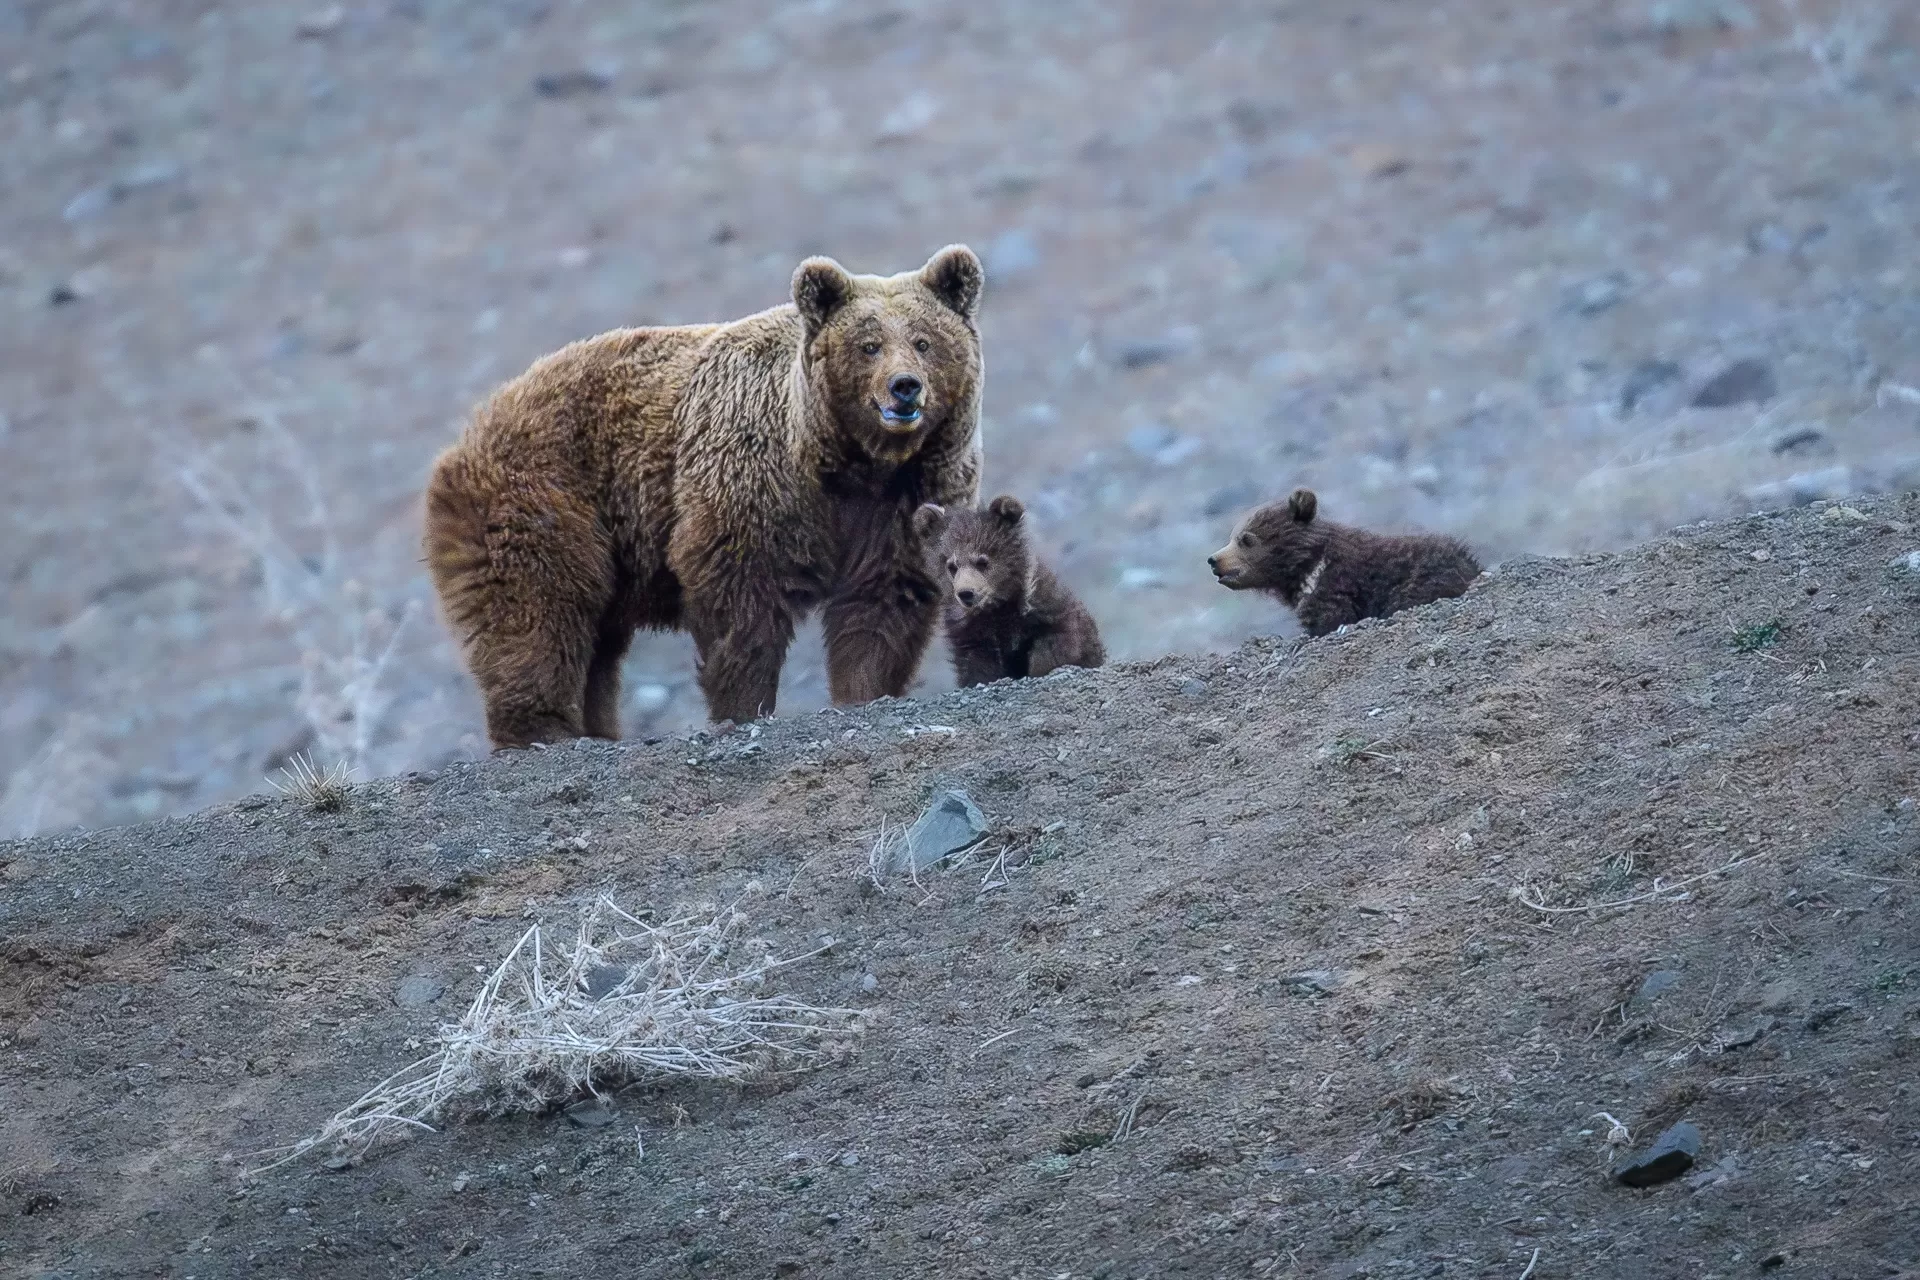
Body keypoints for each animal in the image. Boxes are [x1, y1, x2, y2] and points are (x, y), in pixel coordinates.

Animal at [423, 246, 985, 749]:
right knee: (541, 607)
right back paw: (542, 732)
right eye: (868, 345)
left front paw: (862, 692)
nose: (904, 387)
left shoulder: (906, 501)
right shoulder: (754, 479)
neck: (853, 462)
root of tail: (470, 430)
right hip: (547, 493)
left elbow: (883, 603)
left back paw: (597, 728)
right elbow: (742, 602)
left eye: (924, 341)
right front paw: (744, 705)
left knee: (597, 643)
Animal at [912, 495, 1106, 687]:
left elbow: (1054, 649)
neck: (999, 608)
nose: (966, 593)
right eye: (951, 566)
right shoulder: (972, 638)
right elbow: (978, 670)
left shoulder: (1048, 615)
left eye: (982, 562)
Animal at [1207, 488, 1480, 637]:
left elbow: (1328, 621)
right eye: (1233, 536)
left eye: (1246, 539)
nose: (1214, 560)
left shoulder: (1336, 591)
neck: (1310, 567)